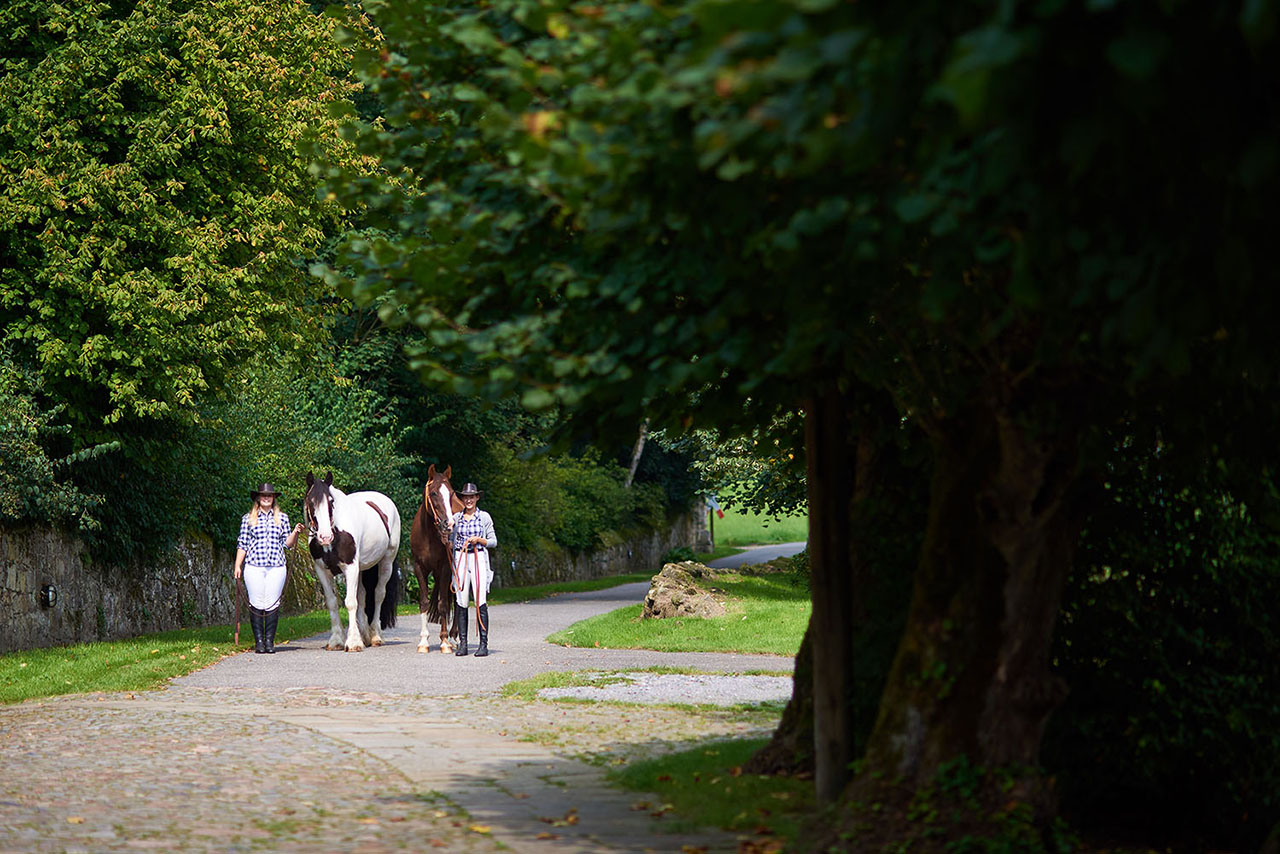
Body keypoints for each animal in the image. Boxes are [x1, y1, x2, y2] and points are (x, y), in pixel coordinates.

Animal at [302, 471, 396, 650]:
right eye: (310, 501)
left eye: (331, 501)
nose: (325, 536)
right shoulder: (322, 571)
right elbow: (333, 603)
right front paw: (336, 640)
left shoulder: (350, 568)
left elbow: (350, 602)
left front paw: (352, 642)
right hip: (361, 569)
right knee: (362, 595)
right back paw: (365, 635)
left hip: (386, 562)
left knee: (379, 594)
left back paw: (375, 635)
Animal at [407, 463, 463, 650]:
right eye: (433, 493)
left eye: (451, 493)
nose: (449, 524)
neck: (429, 535)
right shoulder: (419, 568)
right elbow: (424, 602)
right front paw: (424, 641)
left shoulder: (445, 568)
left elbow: (443, 603)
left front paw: (445, 641)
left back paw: (454, 637)